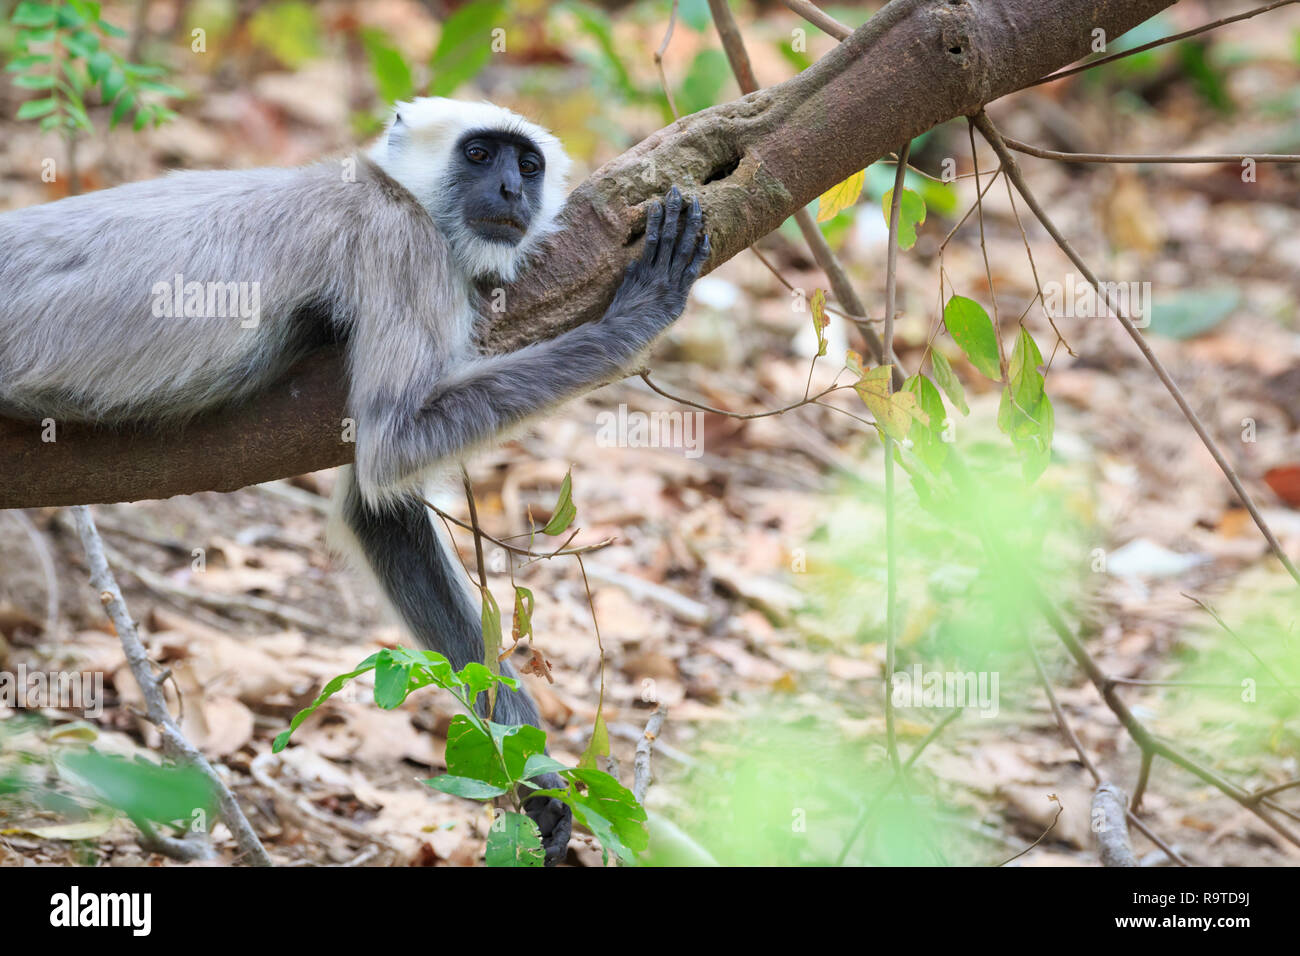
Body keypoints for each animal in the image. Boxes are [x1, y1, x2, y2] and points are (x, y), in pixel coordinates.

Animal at [0, 98, 712, 868]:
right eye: (479, 155)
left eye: (527, 165)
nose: (511, 192)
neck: (388, 188)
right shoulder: (403, 243)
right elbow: (392, 443)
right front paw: (637, 315)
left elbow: (382, 512)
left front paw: (537, 780)